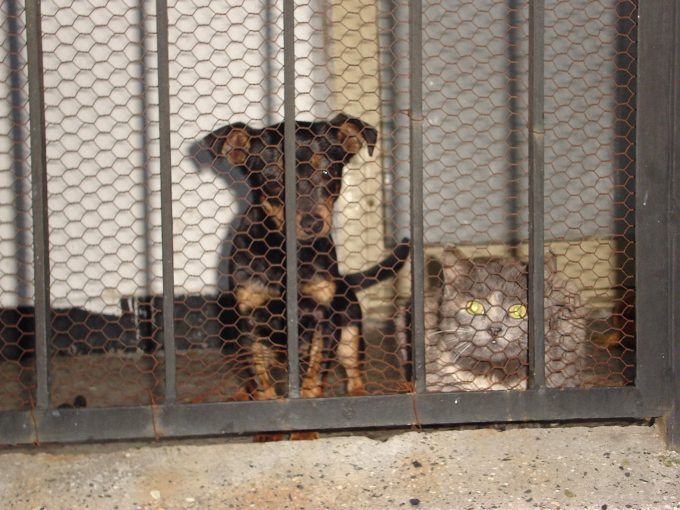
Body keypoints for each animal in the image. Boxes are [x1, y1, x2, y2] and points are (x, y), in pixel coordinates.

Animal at [202, 113, 409, 400]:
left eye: (327, 172)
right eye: (274, 177)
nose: (313, 223)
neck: (286, 253)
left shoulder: (325, 317)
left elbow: (316, 370)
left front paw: (309, 400)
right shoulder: (248, 319)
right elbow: (260, 377)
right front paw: (267, 400)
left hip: (350, 327)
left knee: (354, 368)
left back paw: (359, 393)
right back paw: (242, 394)